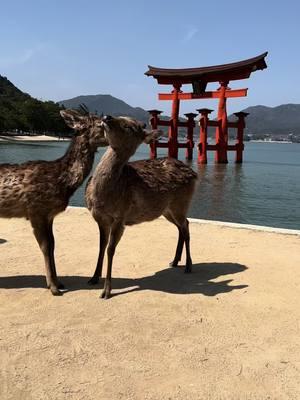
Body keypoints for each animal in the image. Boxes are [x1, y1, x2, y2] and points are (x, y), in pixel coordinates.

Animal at [0, 109, 107, 294]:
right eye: (101, 124)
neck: (61, 182)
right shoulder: (36, 210)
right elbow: (45, 246)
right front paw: (53, 287)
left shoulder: (49, 215)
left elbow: (52, 245)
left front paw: (59, 282)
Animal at [85, 114, 197, 298]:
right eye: (121, 117)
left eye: (130, 127)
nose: (107, 117)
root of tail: (195, 174)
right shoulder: (99, 218)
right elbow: (101, 246)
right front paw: (93, 278)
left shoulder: (120, 217)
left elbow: (110, 249)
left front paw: (106, 291)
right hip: (167, 210)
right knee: (183, 226)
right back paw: (174, 261)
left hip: (181, 203)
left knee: (186, 227)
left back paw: (188, 266)